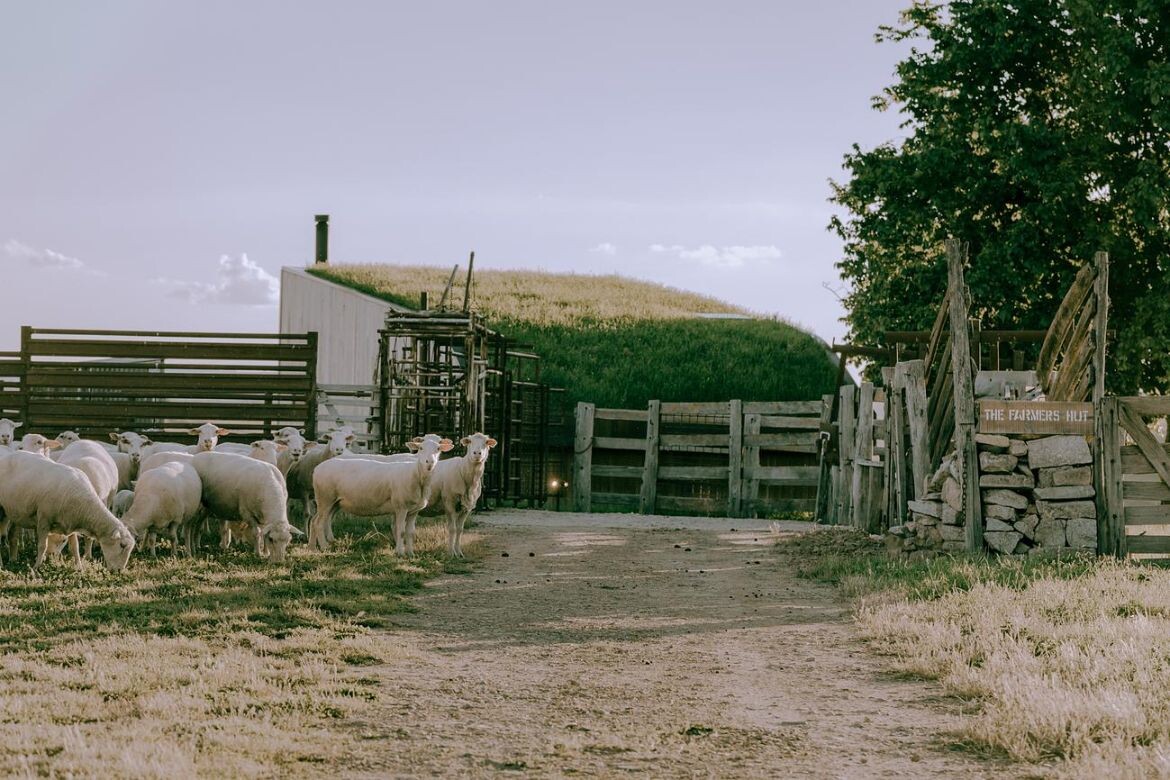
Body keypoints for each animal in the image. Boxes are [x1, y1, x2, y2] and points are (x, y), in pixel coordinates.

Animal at [0, 449, 135, 570]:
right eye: (122, 545)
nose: (119, 571)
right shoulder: (44, 519)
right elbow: (42, 546)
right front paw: (36, 567)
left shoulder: (71, 523)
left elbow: (75, 547)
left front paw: (79, 567)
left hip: (17, 512)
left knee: (12, 534)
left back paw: (13, 559)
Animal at [306, 432, 451, 554]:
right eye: (421, 448)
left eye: (438, 448)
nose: (429, 462)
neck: (415, 475)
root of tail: (317, 468)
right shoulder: (401, 507)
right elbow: (400, 531)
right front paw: (400, 553)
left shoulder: (413, 511)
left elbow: (410, 532)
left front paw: (410, 554)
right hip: (325, 498)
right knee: (318, 523)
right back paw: (324, 547)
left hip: (332, 501)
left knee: (314, 521)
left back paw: (312, 547)